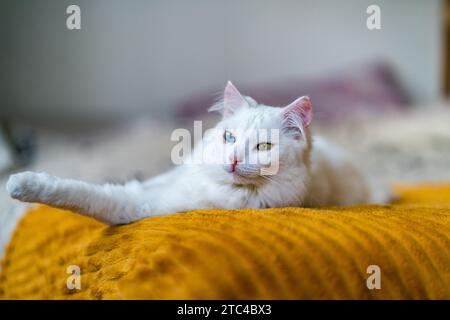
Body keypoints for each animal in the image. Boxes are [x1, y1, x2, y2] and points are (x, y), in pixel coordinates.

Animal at [5, 82, 382, 225]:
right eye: (229, 137)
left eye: (263, 147)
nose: (232, 160)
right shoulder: (168, 180)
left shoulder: (141, 204)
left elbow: (78, 192)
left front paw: (20, 184)